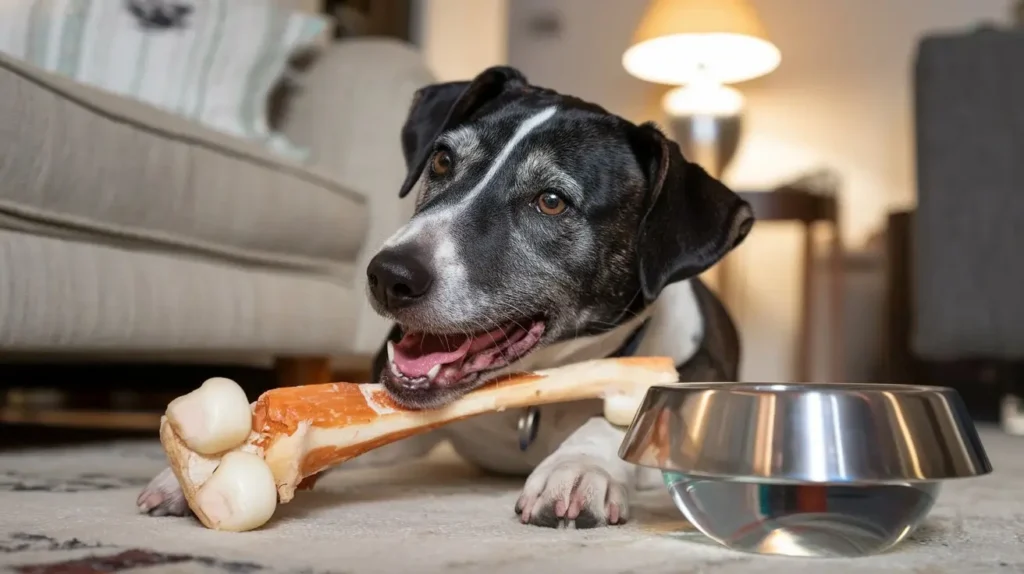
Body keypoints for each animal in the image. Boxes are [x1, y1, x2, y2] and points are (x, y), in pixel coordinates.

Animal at [136, 65, 753, 527]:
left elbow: (622, 423)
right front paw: (212, 465)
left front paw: (577, 468)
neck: (529, 401)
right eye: (441, 160)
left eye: (552, 201)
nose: (388, 275)